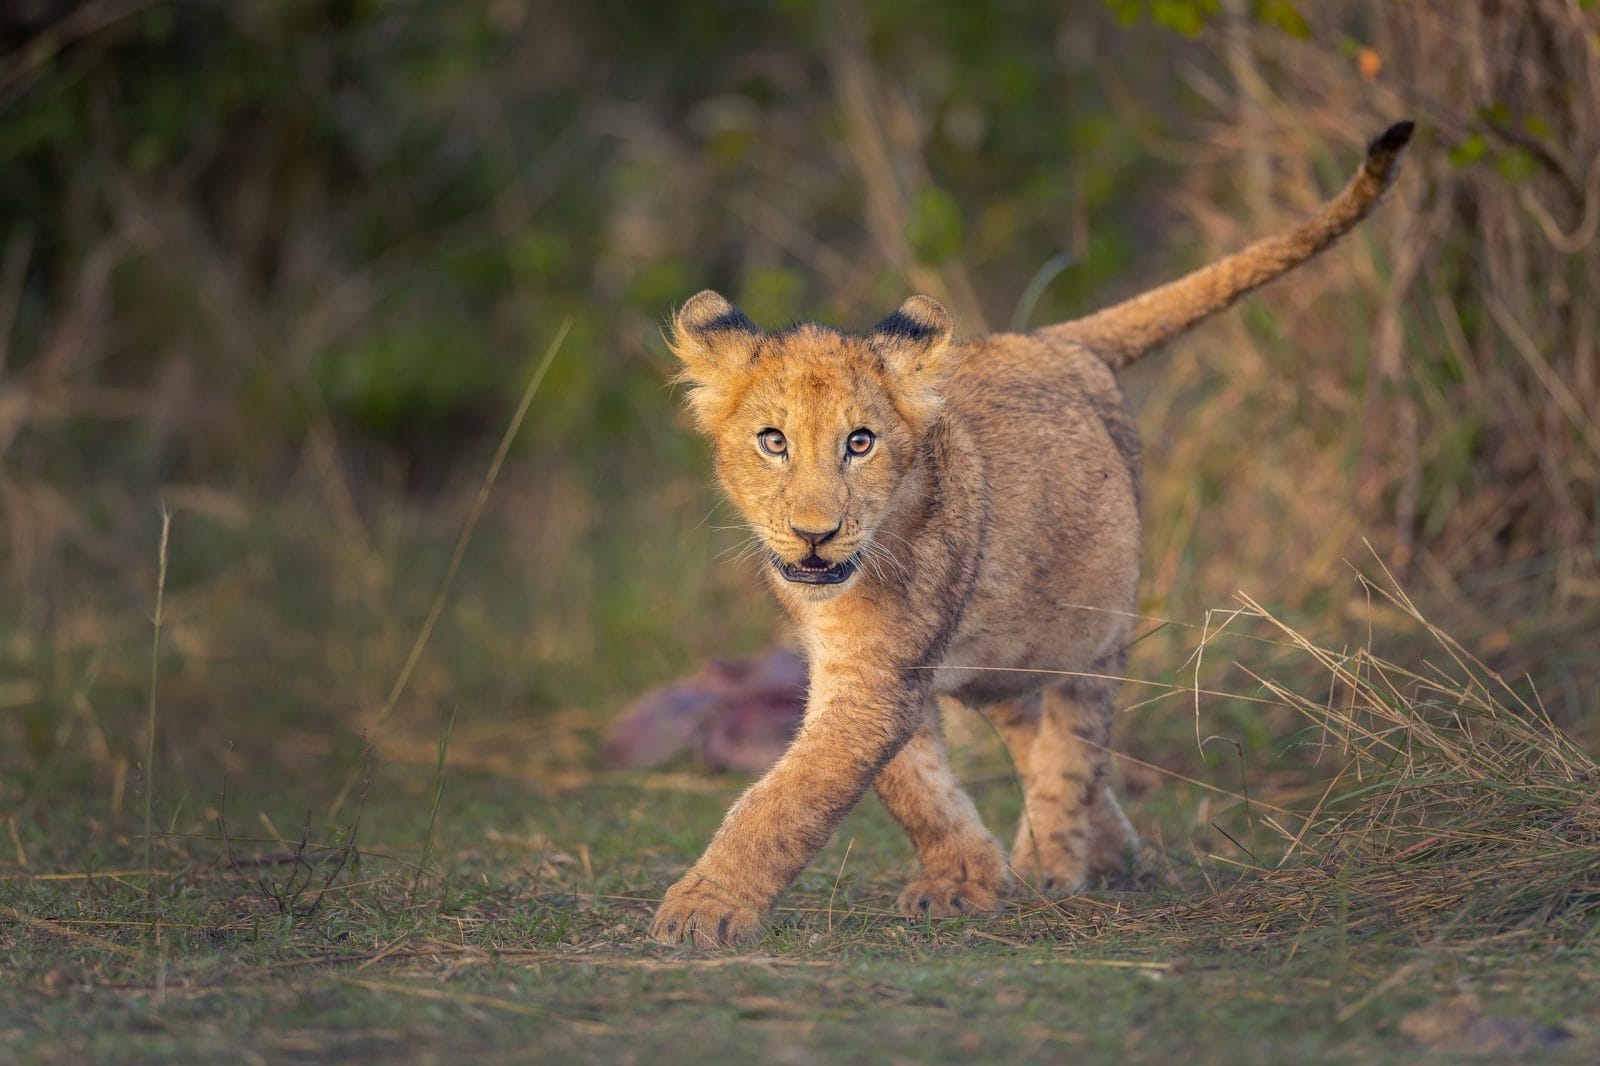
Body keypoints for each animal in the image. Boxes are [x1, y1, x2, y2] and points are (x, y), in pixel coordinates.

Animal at [650, 122, 1414, 947]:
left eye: (860, 442)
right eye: (773, 442)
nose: (814, 535)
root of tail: (1062, 341)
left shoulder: (878, 677)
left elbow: (790, 798)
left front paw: (705, 906)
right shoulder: (865, 665)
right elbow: (913, 784)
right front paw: (968, 877)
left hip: (1094, 623)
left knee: (1074, 743)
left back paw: (1055, 861)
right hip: (1009, 646)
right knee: (1037, 729)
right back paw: (1106, 851)